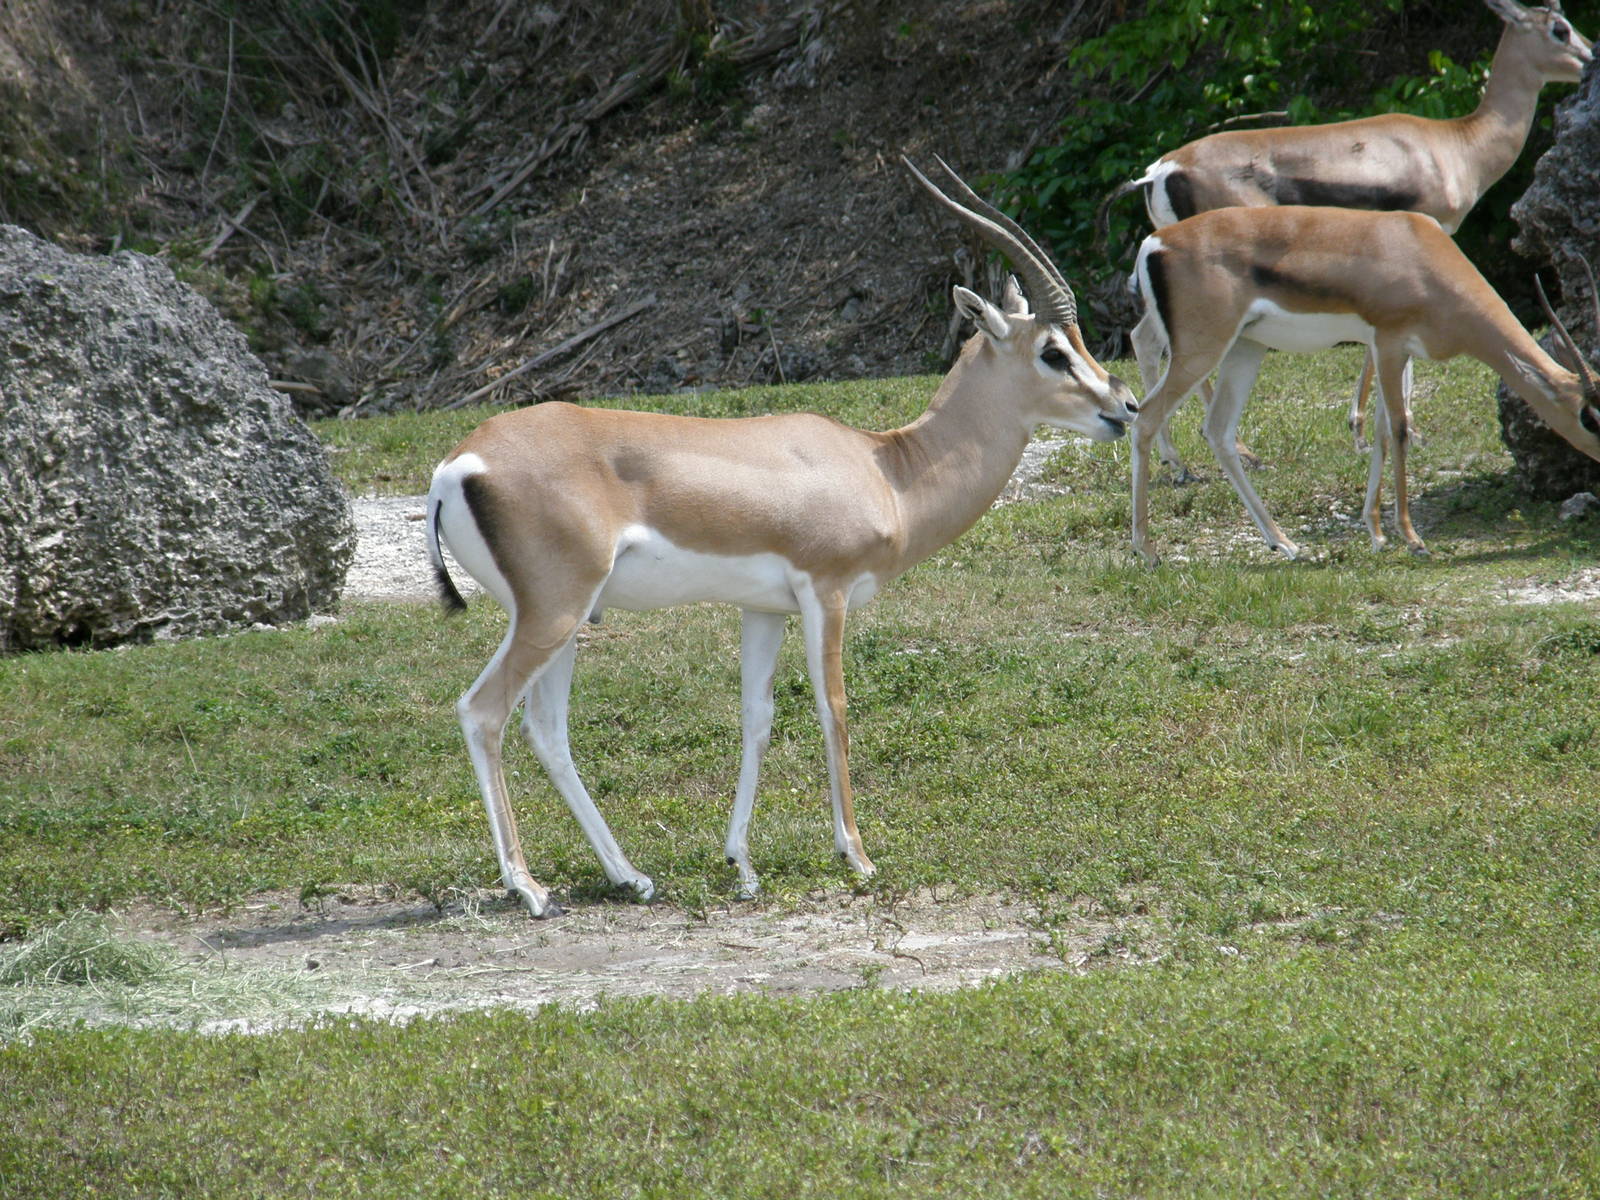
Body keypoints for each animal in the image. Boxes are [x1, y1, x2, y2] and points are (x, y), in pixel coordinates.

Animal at [425, 157, 1138, 917]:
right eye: (1054, 352)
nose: (1125, 406)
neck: (886, 469)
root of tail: (457, 465)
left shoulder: (763, 609)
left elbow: (756, 716)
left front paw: (740, 862)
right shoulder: (827, 592)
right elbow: (834, 707)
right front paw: (857, 855)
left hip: (566, 619)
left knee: (546, 729)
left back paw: (631, 876)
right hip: (554, 612)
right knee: (483, 711)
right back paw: (529, 887)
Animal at [1102, 0, 1593, 468]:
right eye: (1559, 29)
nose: (1590, 59)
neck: (1455, 145)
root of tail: (1158, 170)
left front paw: (1367, 428)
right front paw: (1387, 428)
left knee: (1146, 340)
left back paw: (1178, 461)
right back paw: (1233, 453)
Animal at [1126, 204, 1600, 566]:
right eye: (1589, 417)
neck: (1421, 256)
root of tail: (1156, 242)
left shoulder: (1393, 350)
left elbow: (1381, 431)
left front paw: (1377, 534)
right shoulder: (1389, 343)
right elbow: (1400, 430)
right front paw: (1413, 540)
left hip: (1246, 348)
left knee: (1218, 431)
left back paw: (1285, 543)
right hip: (1203, 349)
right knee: (1145, 419)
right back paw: (1147, 551)